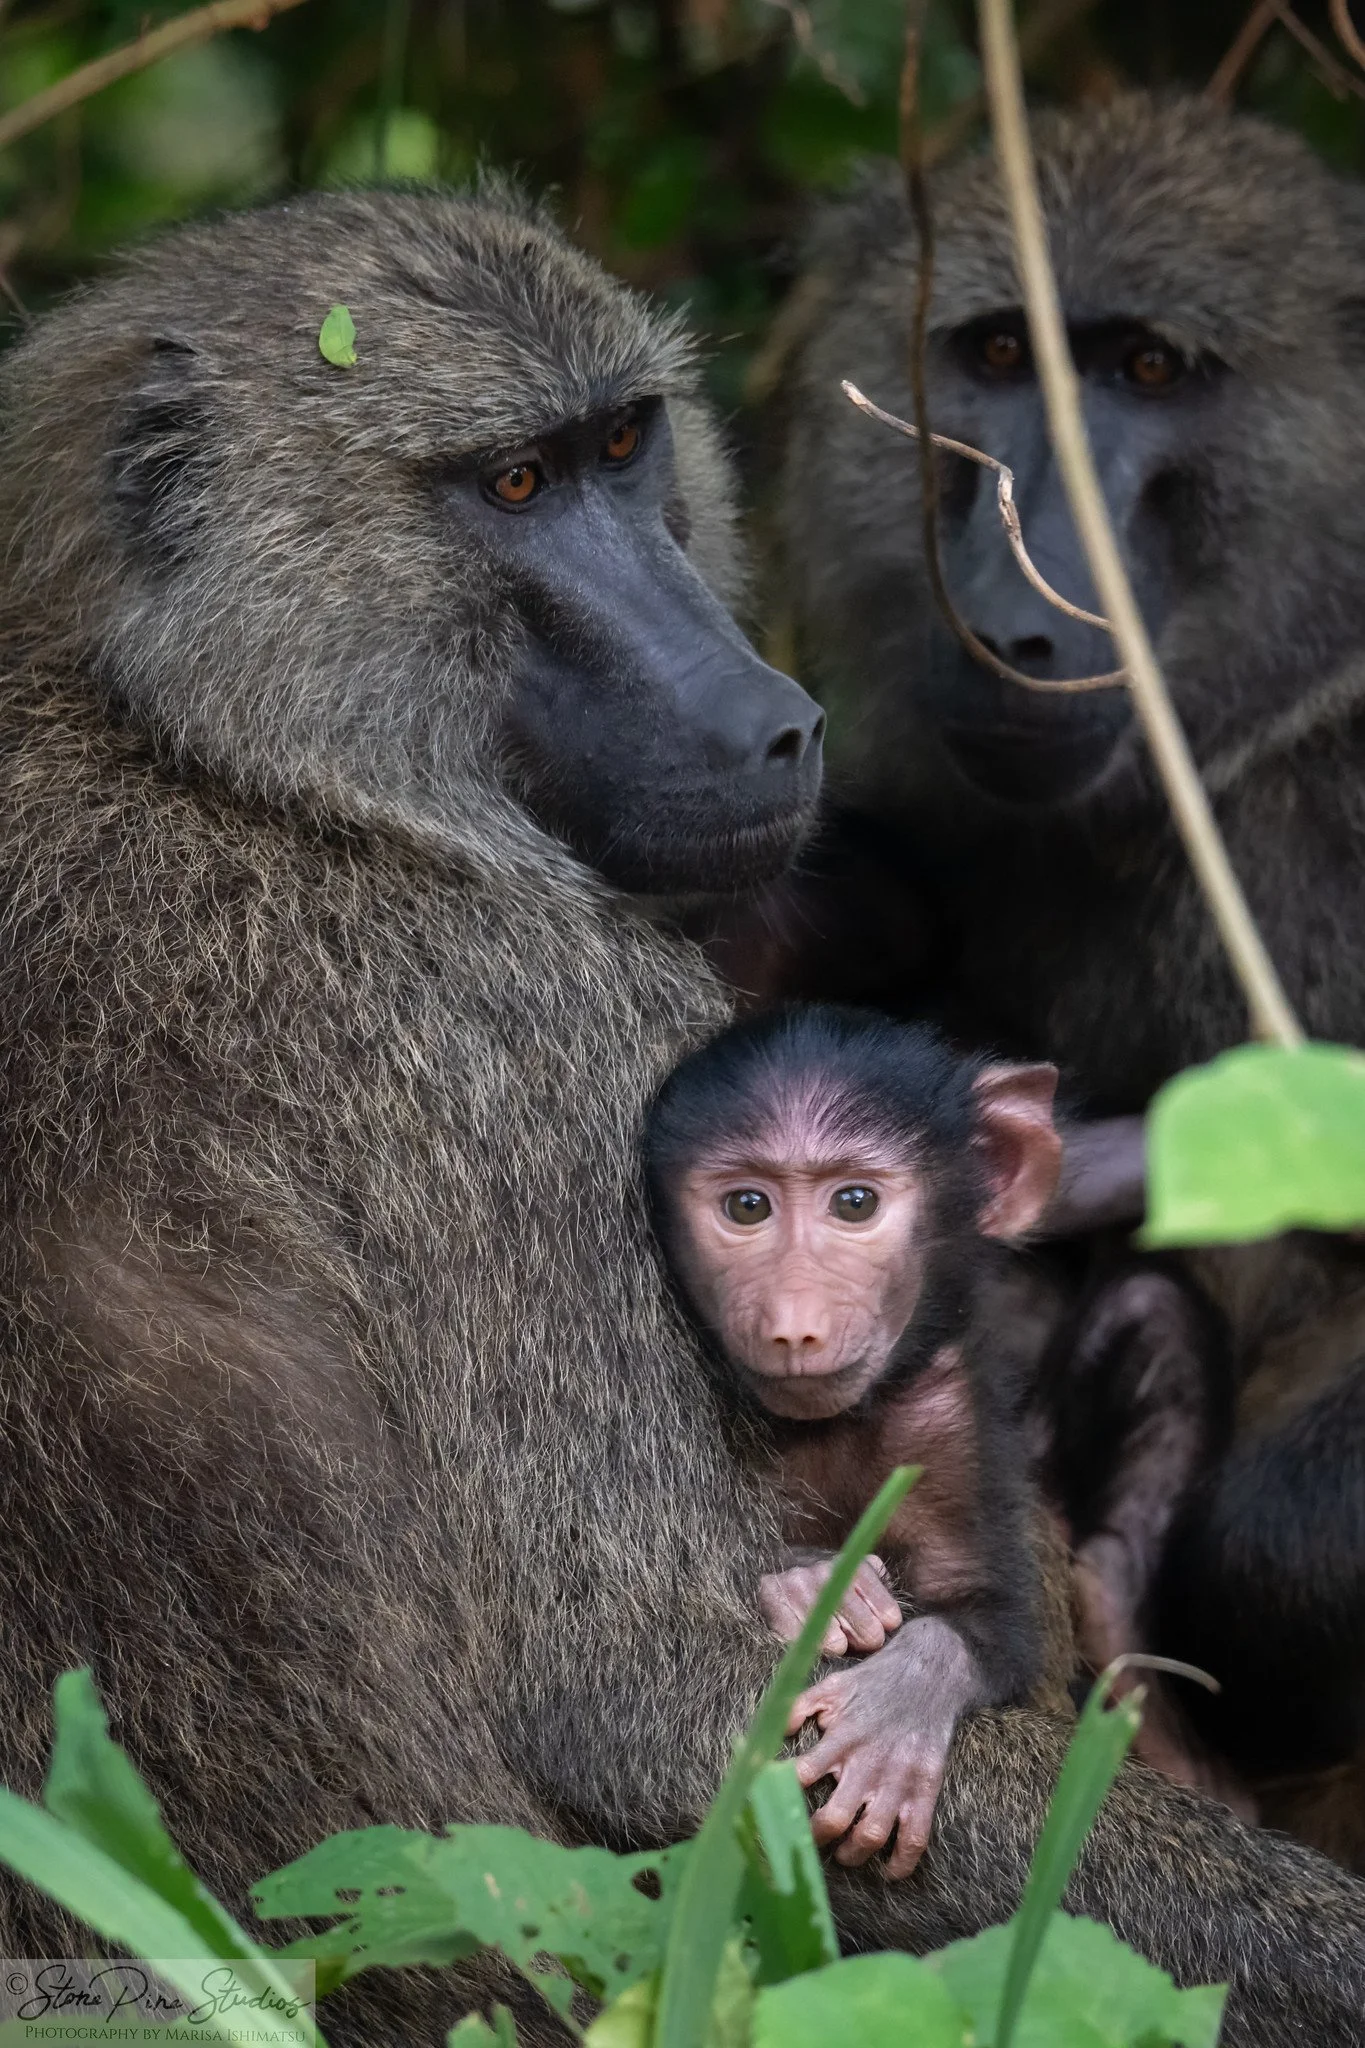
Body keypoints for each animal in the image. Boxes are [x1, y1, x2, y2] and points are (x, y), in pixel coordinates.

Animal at [643, 1005, 1061, 1878]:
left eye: (855, 1202)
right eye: (746, 1207)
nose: (794, 1323)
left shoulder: (947, 1417)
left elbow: (994, 1623)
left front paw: (897, 1710)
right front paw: (814, 1585)